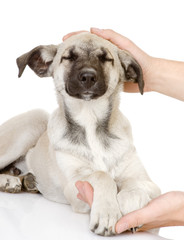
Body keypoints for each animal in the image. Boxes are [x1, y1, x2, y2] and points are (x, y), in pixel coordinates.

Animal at [0, 33, 160, 236]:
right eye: (68, 57)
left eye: (106, 58)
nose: (88, 77)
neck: (90, 120)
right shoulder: (74, 186)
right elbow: (101, 176)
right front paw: (107, 213)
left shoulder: (149, 183)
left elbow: (135, 183)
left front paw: (130, 203)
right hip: (35, 119)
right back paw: (8, 180)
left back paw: (24, 180)